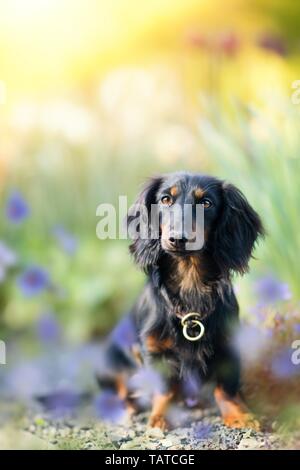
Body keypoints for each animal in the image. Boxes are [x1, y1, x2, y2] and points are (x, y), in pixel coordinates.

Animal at [99, 172, 264, 430]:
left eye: (206, 203)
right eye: (165, 199)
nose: (178, 239)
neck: (190, 282)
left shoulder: (229, 346)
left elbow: (226, 388)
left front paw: (238, 414)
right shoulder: (153, 350)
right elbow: (164, 390)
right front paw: (159, 417)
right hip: (108, 365)